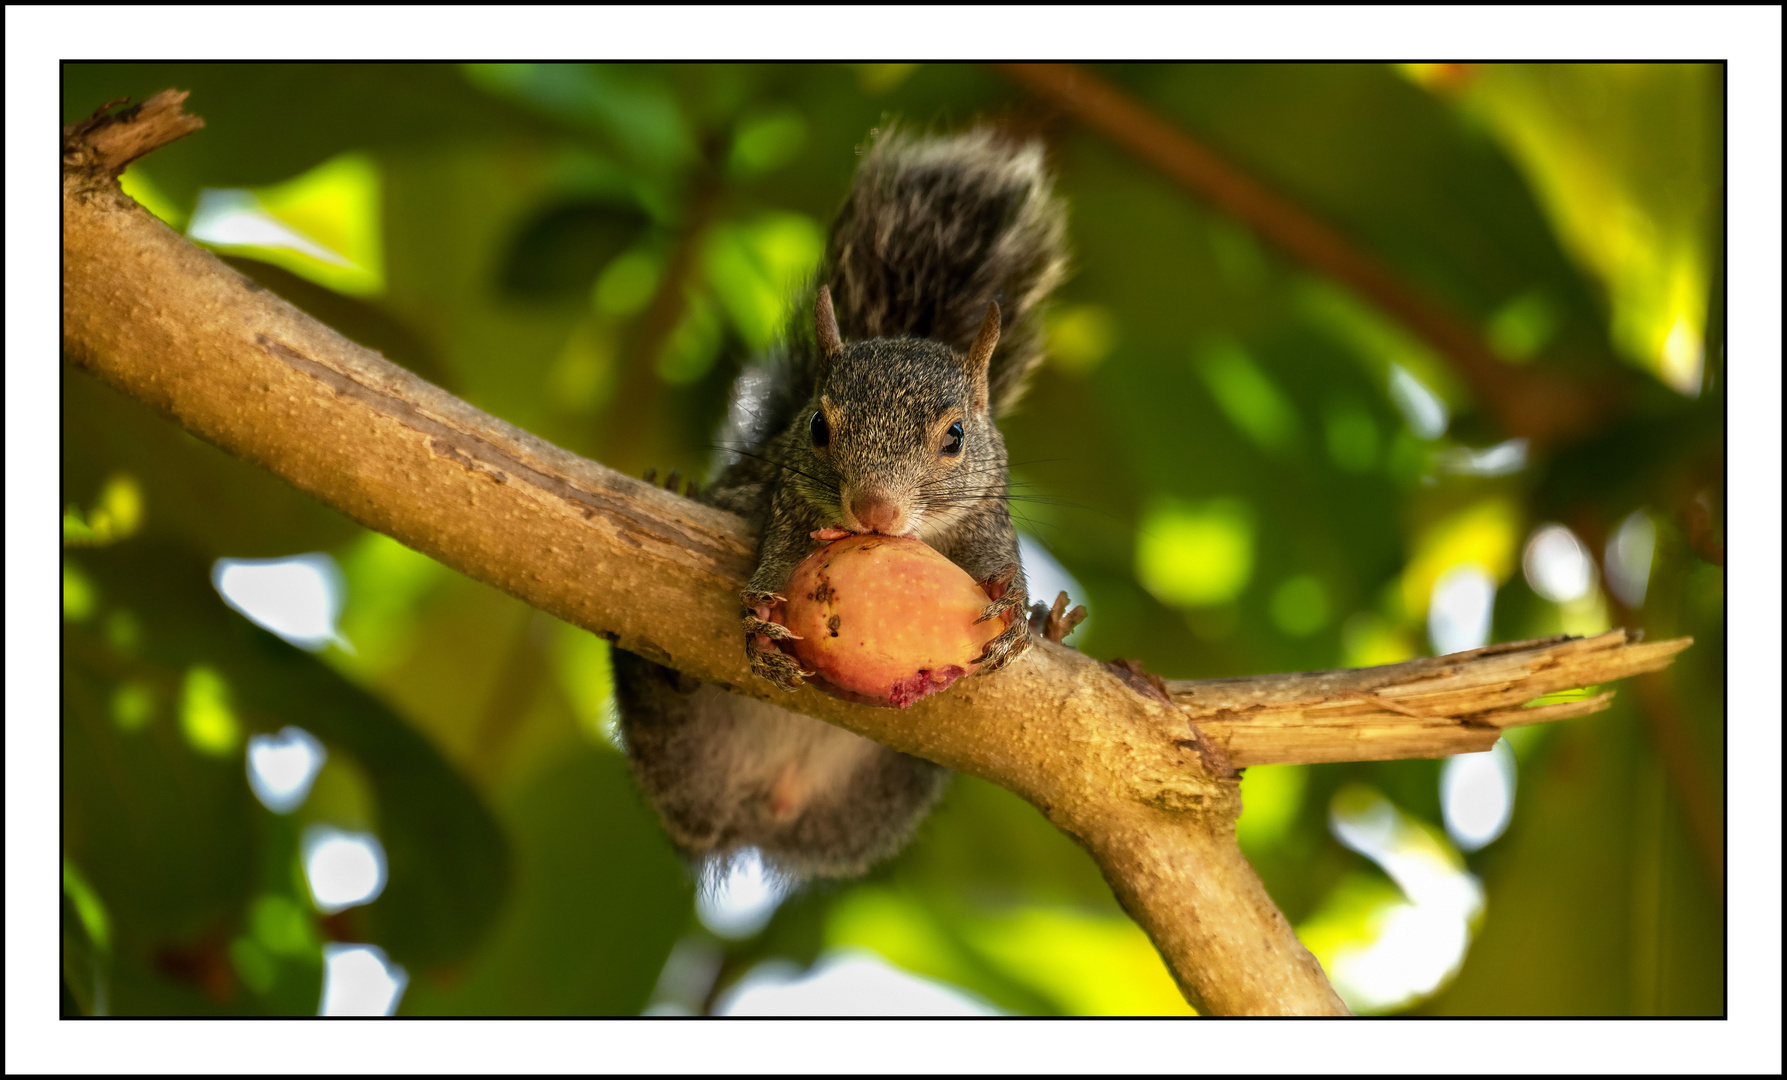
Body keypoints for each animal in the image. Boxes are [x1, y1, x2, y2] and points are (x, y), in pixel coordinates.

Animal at [607, 126, 1065, 883]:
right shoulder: (782, 503)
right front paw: (761, 622)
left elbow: (1000, 564)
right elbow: (772, 555)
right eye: (818, 426)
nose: (875, 510)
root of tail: (760, 807)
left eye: (956, 436)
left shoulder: (986, 518)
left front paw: (1021, 608)